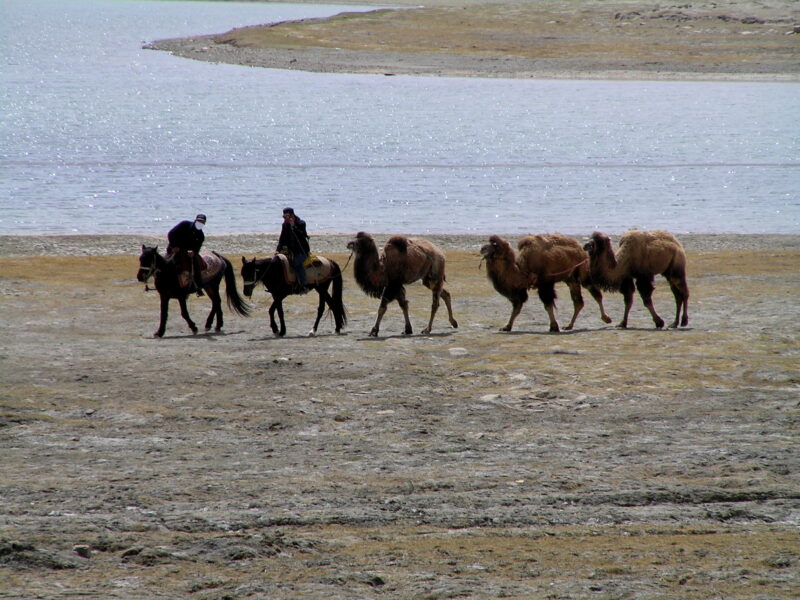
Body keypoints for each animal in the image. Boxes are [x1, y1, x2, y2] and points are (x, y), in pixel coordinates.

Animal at [480, 234, 612, 332]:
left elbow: (547, 305)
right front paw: (506, 327)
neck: (522, 270)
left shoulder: (545, 284)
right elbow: (517, 306)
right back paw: (569, 325)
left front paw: (554, 327)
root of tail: (580, 248)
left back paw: (606, 318)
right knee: (578, 302)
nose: (482, 249)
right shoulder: (521, 290)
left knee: (595, 293)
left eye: (493, 246)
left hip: (582, 272)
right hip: (570, 279)